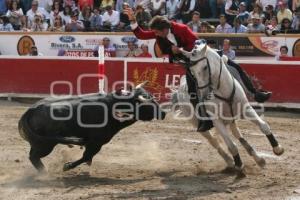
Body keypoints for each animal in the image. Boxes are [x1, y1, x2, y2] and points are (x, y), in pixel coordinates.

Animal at [18, 86, 166, 172]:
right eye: (148, 104)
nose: (163, 113)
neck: (113, 106)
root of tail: (31, 110)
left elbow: (87, 157)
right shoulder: (96, 143)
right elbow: (86, 156)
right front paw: (67, 166)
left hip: (38, 143)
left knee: (32, 156)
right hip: (45, 145)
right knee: (34, 157)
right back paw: (45, 173)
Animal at [172, 43, 284, 175]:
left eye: (205, 67)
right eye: (192, 72)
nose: (204, 95)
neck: (223, 90)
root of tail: (179, 89)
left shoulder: (246, 109)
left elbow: (264, 126)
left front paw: (278, 149)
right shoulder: (216, 120)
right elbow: (231, 145)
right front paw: (239, 165)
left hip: (231, 119)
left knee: (238, 135)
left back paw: (259, 159)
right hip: (198, 124)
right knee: (214, 142)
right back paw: (230, 162)